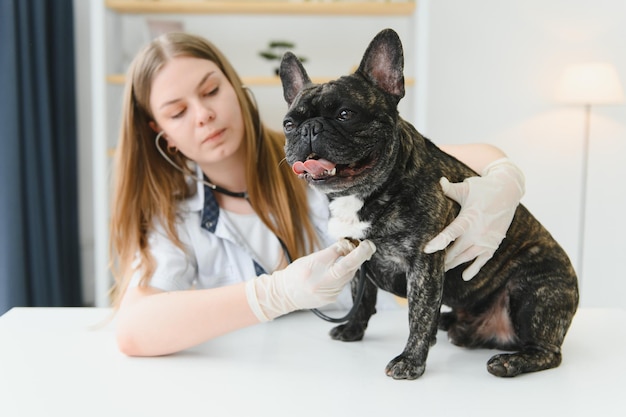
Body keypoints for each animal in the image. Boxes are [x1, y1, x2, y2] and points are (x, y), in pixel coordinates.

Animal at [280, 28, 576, 380]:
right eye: (288, 124)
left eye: (345, 114)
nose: (309, 129)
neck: (367, 192)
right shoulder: (354, 256)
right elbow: (361, 299)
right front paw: (352, 330)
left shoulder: (424, 263)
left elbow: (418, 315)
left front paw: (410, 361)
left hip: (532, 292)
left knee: (549, 352)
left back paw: (511, 361)